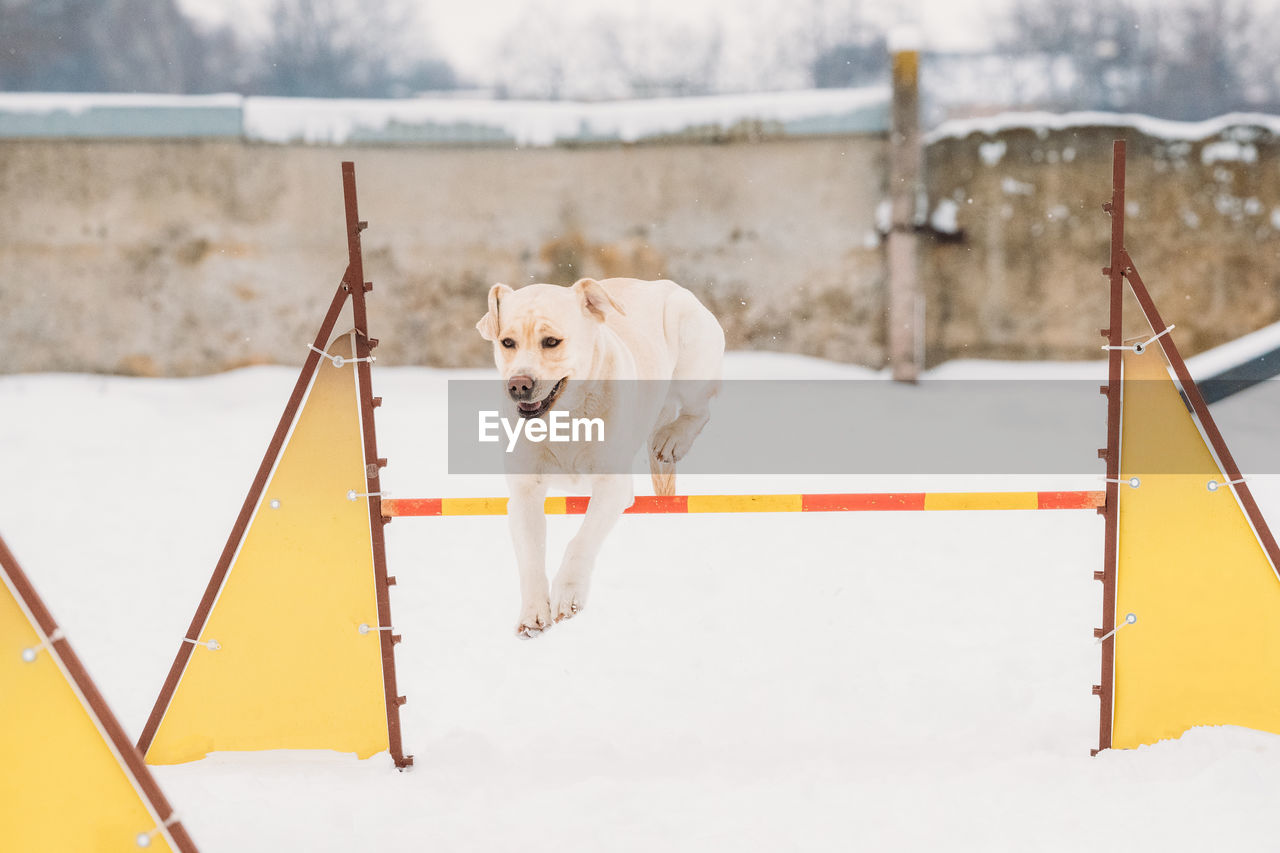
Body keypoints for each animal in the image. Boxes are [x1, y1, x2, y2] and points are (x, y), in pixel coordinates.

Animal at [476, 275, 727, 635]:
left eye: (551, 341)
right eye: (507, 342)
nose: (518, 385)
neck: (564, 419)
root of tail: (664, 285)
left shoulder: (613, 486)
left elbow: (581, 540)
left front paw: (569, 594)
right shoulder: (524, 494)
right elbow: (531, 556)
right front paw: (533, 613)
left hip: (692, 354)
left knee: (699, 409)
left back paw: (671, 440)